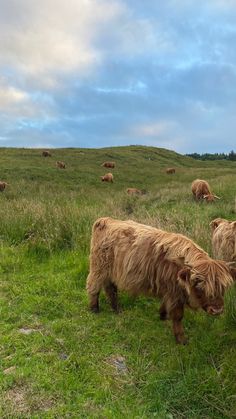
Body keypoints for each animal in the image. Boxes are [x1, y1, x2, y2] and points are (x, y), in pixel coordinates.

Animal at [86, 217, 236, 344]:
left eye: (222, 288)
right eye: (199, 286)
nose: (217, 310)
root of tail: (106, 220)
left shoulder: (169, 290)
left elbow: (165, 304)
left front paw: (163, 315)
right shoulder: (175, 294)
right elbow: (178, 316)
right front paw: (181, 340)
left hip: (110, 272)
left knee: (110, 289)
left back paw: (116, 309)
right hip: (98, 267)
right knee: (94, 286)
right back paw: (94, 308)